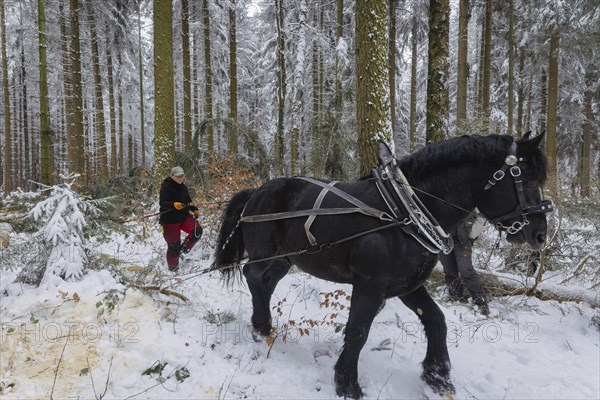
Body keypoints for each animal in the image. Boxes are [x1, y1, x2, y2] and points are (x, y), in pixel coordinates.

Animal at [214, 134, 548, 396]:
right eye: (528, 179)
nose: (540, 234)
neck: (405, 211)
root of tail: (257, 191)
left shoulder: (406, 285)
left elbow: (436, 321)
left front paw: (437, 377)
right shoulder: (369, 286)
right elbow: (358, 332)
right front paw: (348, 385)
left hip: (285, 259)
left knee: (266, 282)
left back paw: (264, 327)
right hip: (265, 254)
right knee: (253, 276)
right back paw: (261, 328)